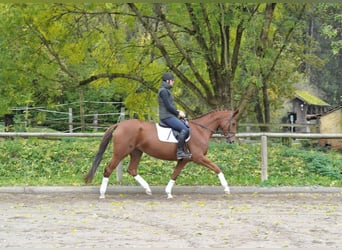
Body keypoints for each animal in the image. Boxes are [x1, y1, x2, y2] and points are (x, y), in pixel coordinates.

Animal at [85, 109, 239, 199]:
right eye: (233, 123)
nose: (231, 140)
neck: (200, 130)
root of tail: (120, 124)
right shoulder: (198, 157)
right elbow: (217, 168)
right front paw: (226, 189)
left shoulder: (183, 160)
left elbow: (175, 174)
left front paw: (168, 192)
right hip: (120, 152)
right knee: (109, 169)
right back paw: (102, 194)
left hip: (136, 152)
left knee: (132, 169)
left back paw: (147, 189)